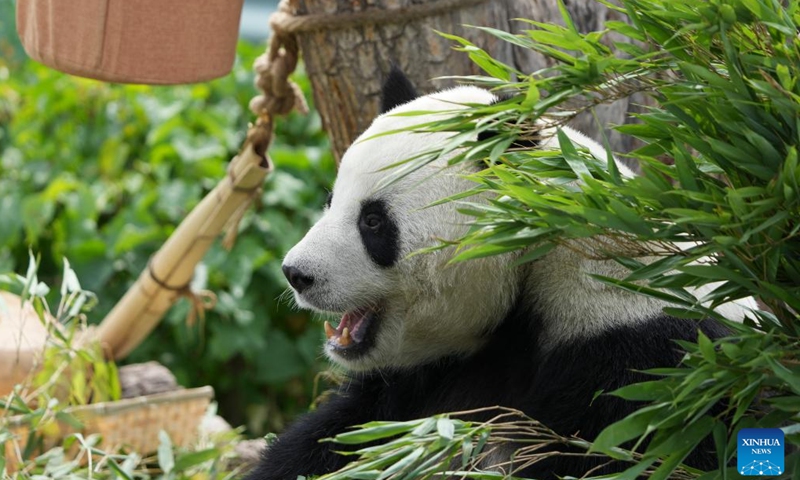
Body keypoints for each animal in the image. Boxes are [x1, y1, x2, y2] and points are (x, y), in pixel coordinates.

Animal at [247, 69, 754, 480]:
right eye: (331, 200)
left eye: (373, 222)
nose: (296, 274)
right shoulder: (424, 376)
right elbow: (342, 435)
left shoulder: (639, 354)